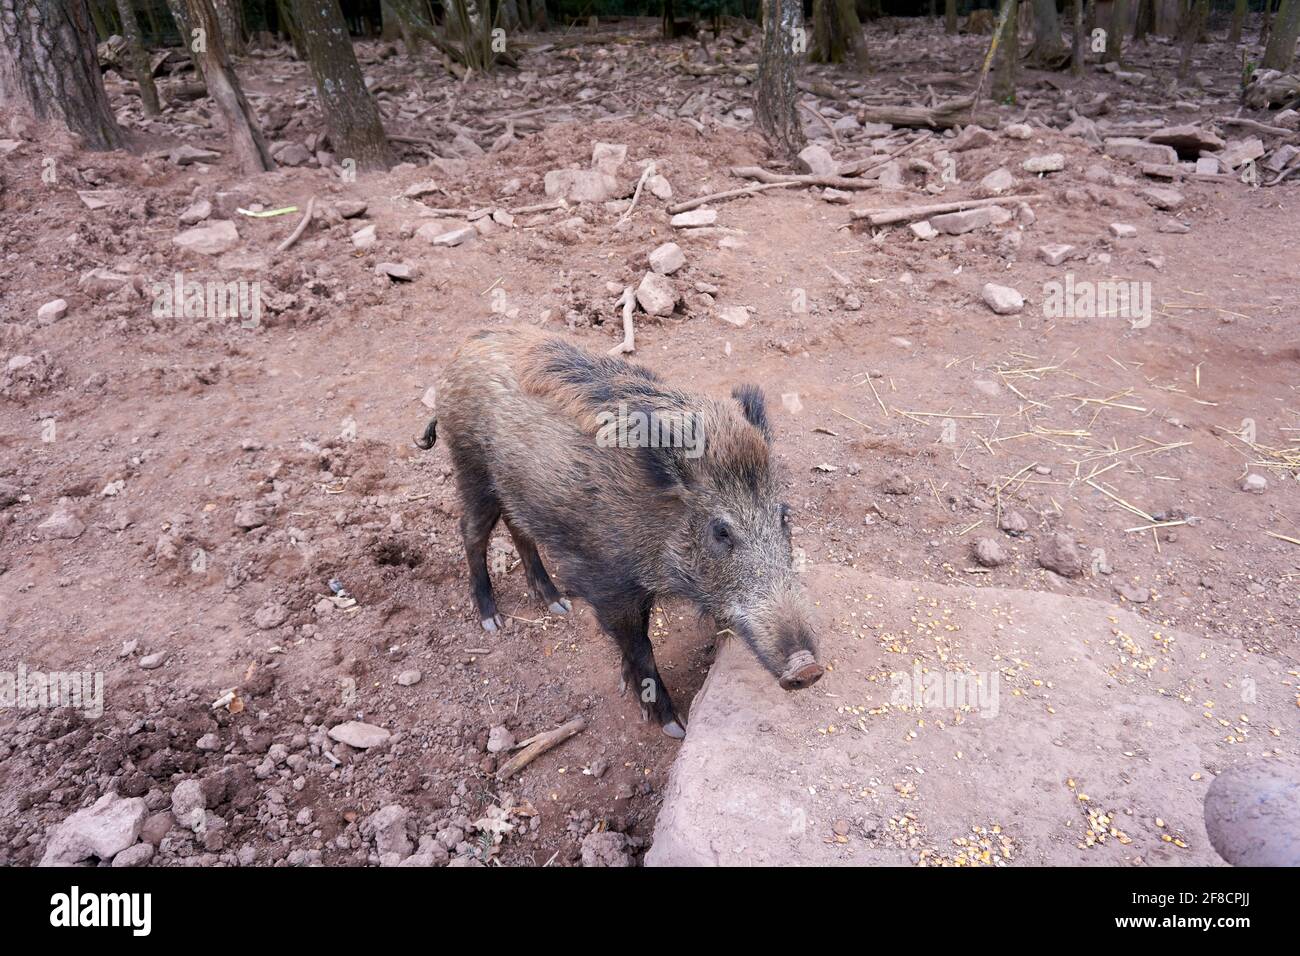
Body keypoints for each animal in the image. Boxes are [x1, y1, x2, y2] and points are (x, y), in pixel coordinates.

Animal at [417, 327, 823, 738]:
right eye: (721, 531)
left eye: (783, 515)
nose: (808, 668)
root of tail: (464, 347)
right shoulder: (607, 583)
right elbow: (639, 646)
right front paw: (672, 726)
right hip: (471, 467)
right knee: (471, 532)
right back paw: (492, 620)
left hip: (514, 490)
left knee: (518, 529)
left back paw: (557, 604)